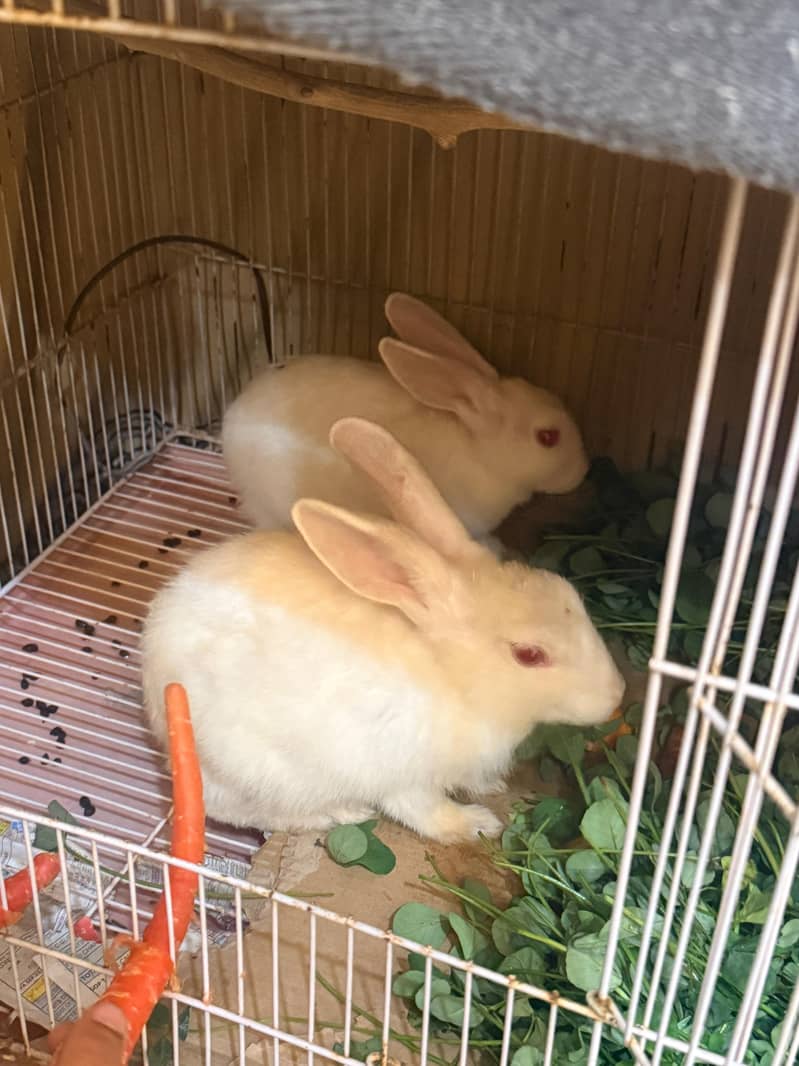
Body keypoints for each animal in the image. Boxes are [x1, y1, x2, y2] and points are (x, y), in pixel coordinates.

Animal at [142, 418, 623, 843]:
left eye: (566, 592)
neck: (455, 680)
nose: (616, 696)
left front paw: (491, 787)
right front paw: (478, 824)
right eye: (529, 655)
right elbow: (426, 813)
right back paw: (339, 813)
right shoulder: (403, 776)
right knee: (236, 810)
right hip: (259, 771)